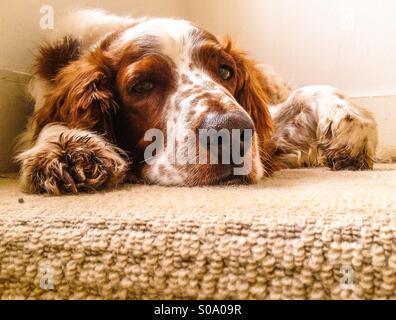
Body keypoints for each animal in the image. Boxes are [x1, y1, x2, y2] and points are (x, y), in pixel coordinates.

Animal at [15, 9, 378, 195]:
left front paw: (352, 130)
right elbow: (49, 123)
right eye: (141, 85)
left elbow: (308, 95)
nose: (232, 131)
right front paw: (68, 149)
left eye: (225, 70)